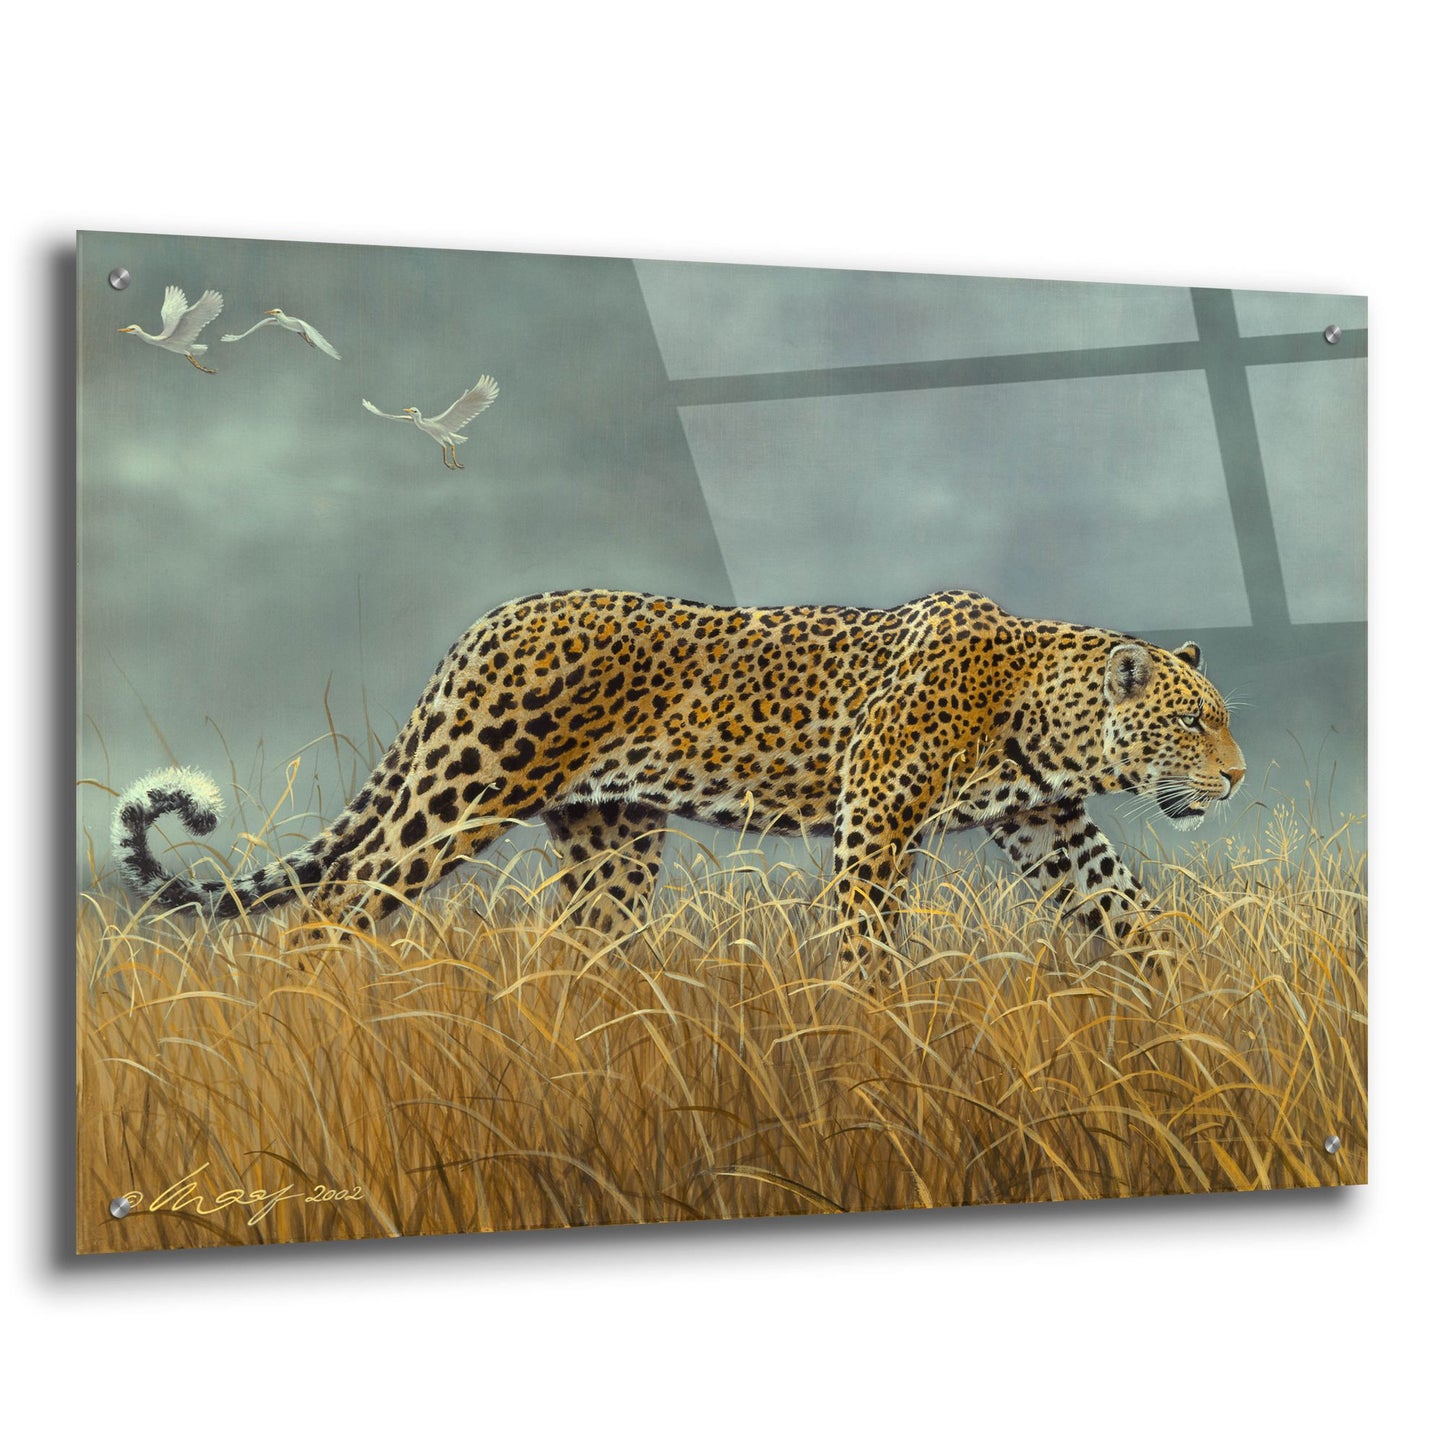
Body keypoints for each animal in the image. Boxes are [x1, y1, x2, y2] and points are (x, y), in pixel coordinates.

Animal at [112, 587, 1245, 979]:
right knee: (330, 909)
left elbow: (1134, 914)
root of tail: (486, 622)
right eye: (1194, 718)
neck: (1042, 714)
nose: (1237, 778)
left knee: (578, 945)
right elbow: (870, 946)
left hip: (610, 834)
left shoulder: (1054, 829)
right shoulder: (874, 827)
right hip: (460, 794)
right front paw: (881, 1040)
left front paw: (1200, 1012)